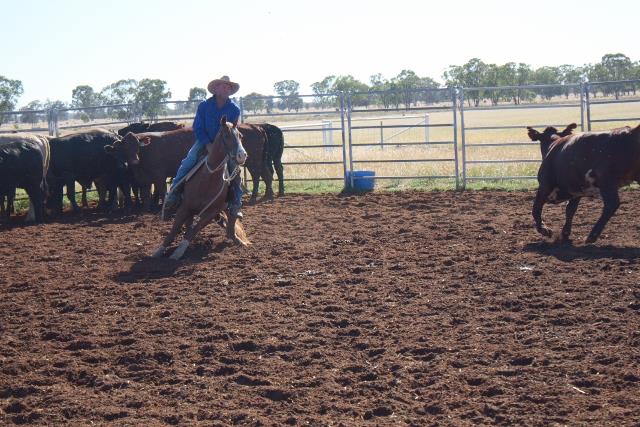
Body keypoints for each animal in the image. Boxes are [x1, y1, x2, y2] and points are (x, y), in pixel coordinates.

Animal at [152, 116, 249, 260]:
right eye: (227, 136)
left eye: (241, 136)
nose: (242, 155)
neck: (208, 179)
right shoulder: (185, 208)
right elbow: (174, 230)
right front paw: (159, 251)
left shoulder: (210, 212)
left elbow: (194, 230)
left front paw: (179, 251)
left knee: (231, 220)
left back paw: (238, 240)